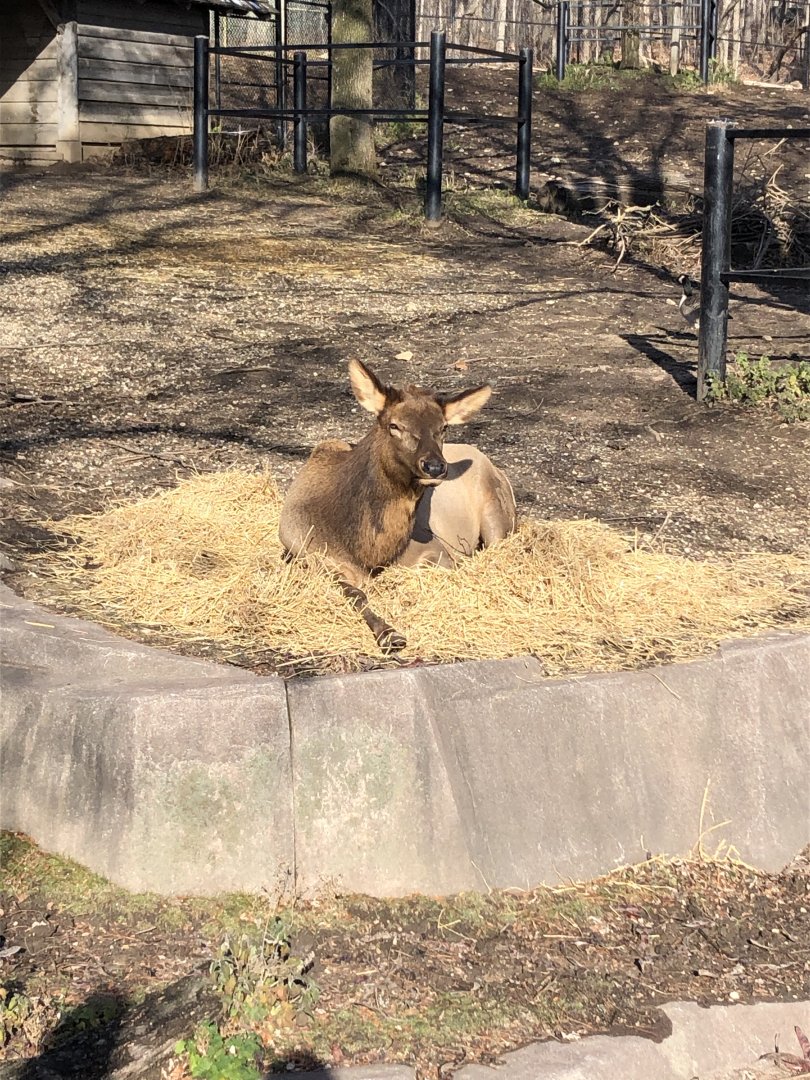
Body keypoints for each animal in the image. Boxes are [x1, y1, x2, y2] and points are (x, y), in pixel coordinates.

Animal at [278, 359, 516, 652]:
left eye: (443, 428)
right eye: (395, 425)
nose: (435, 466)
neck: (366, 552)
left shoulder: (437, 550)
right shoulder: (309, 554)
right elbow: (354, 593)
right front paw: (389, 634)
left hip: (496, 508)